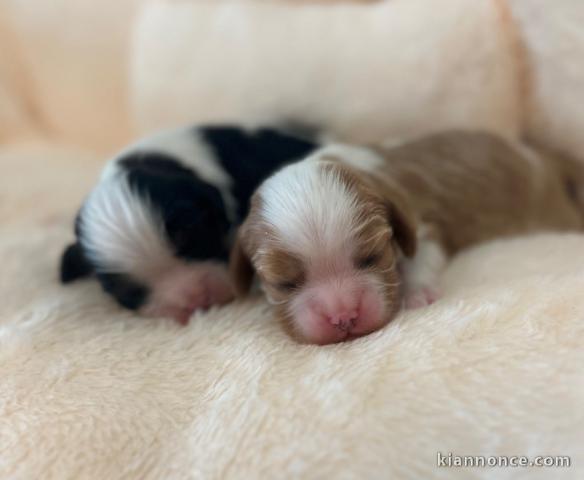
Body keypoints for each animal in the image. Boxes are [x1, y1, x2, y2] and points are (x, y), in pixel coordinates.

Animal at [229, 129, 584, 344]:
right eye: (283, 284)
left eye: (372, 257)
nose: (343, 317)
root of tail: (542, 157)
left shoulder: (420, 223)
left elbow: (421, 256)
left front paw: (418, 292)